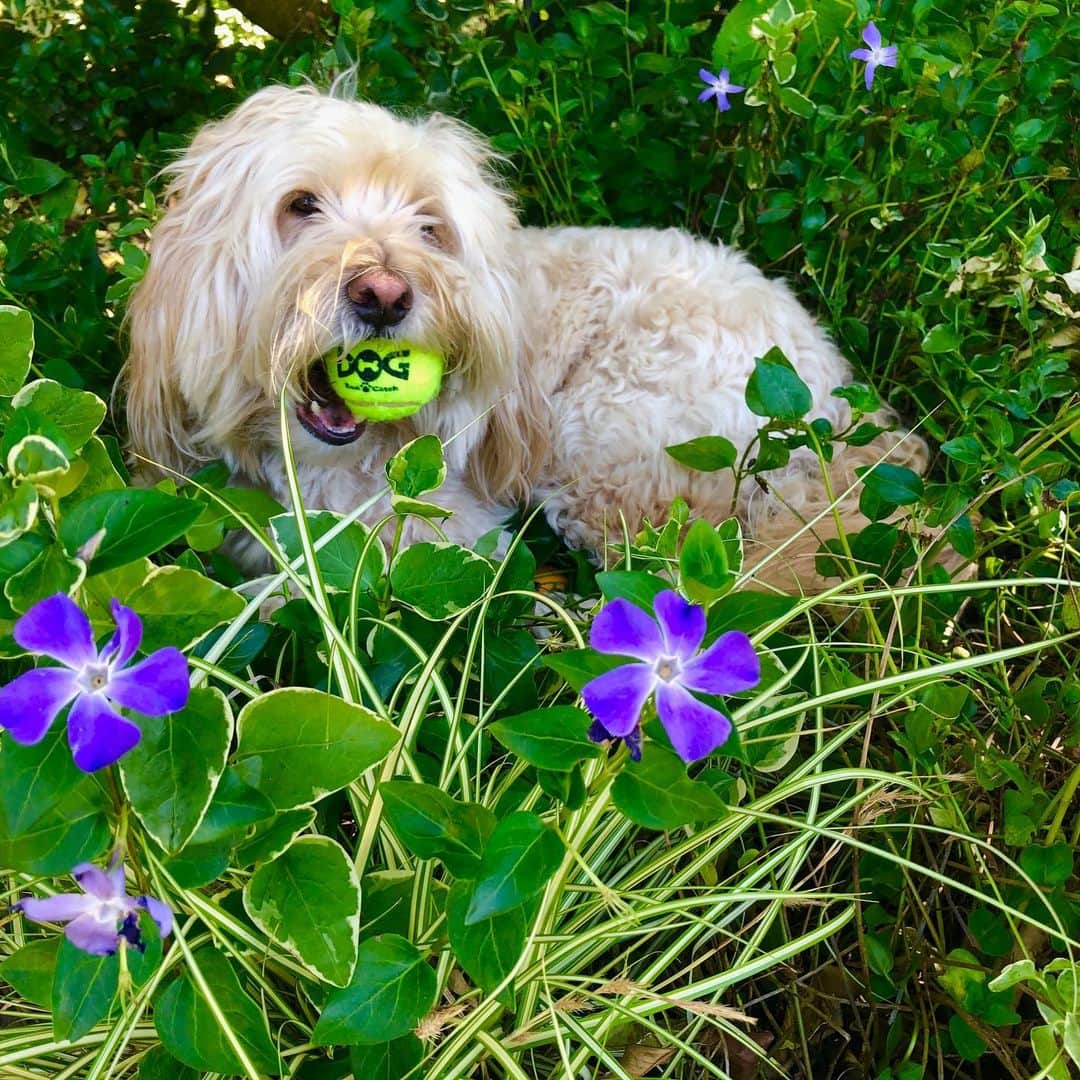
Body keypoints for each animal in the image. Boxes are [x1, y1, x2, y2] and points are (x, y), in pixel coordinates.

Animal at [122, 83, 924, 591]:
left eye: (429, 224)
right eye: (300, 205)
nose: (383, 294)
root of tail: (831, 387)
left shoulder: (440, 533)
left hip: (610, 452)